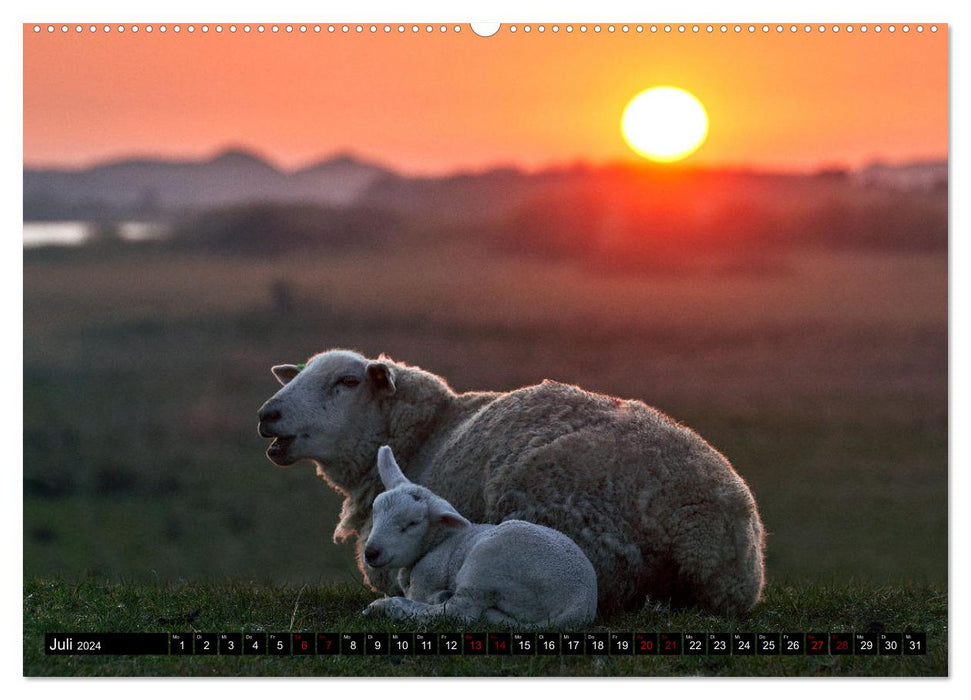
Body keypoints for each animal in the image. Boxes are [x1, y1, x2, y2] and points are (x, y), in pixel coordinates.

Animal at [360, 446, 596, 632]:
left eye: (412, 523)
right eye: (375, 512)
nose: (371, 552)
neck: (437, 543)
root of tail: (579, 604)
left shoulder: (426, 581)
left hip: (486, 564)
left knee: (458, 612)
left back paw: (386, 607)